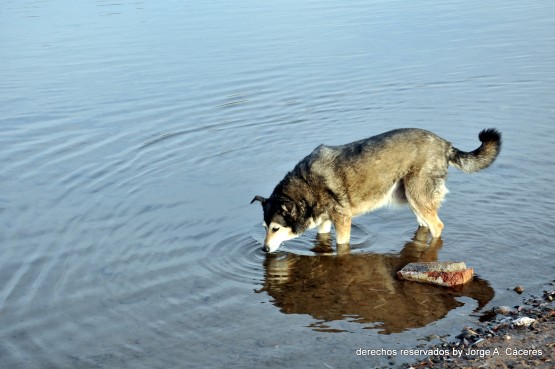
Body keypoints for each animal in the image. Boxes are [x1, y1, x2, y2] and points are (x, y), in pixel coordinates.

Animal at [253, 128, 504, 252]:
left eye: (275, 228)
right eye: (265, 228)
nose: (264, 250)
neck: (306, 186)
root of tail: (445, 144)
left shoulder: (342, 220)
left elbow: (342, 245)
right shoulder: (324, 223)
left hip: (417, 195)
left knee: (437, 226)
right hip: (411, 199)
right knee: (425, 224)